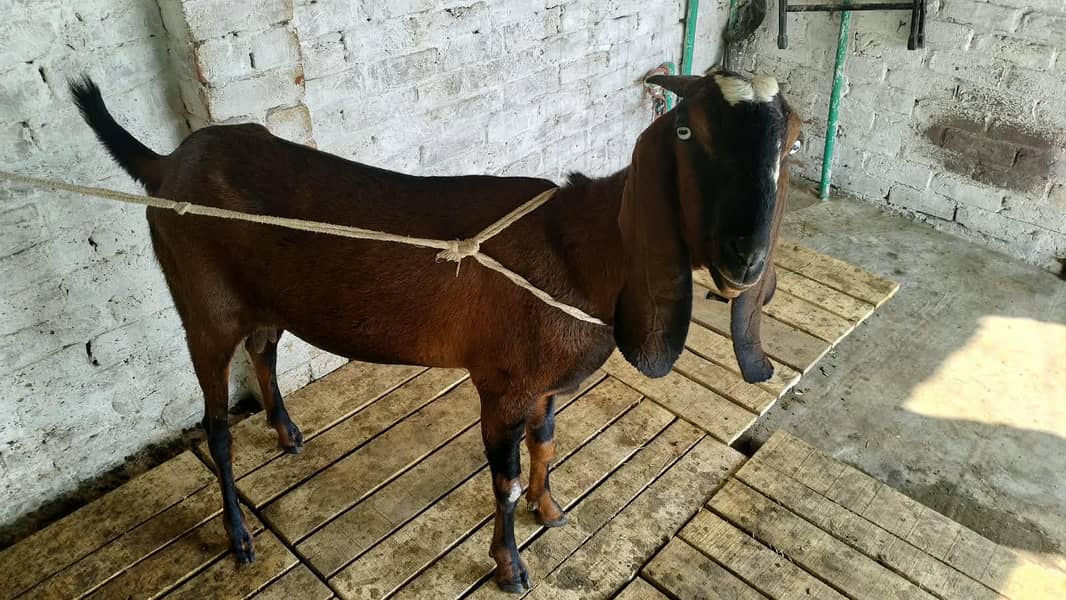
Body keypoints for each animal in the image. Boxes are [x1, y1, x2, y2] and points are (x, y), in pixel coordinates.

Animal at [70, 71, 801, 593]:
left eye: (790, 140)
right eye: (687, 132)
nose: (746, 257)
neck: (576, 249)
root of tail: (167, 165)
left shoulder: (542, 384)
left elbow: (547, 442)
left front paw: (552, 510)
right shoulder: (502, 384)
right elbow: (504, 481)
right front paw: (511, 568)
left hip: (264, 297)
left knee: (265, 348)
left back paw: (286, 431)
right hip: (203, 304)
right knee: (216, 424)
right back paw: (240, 537)